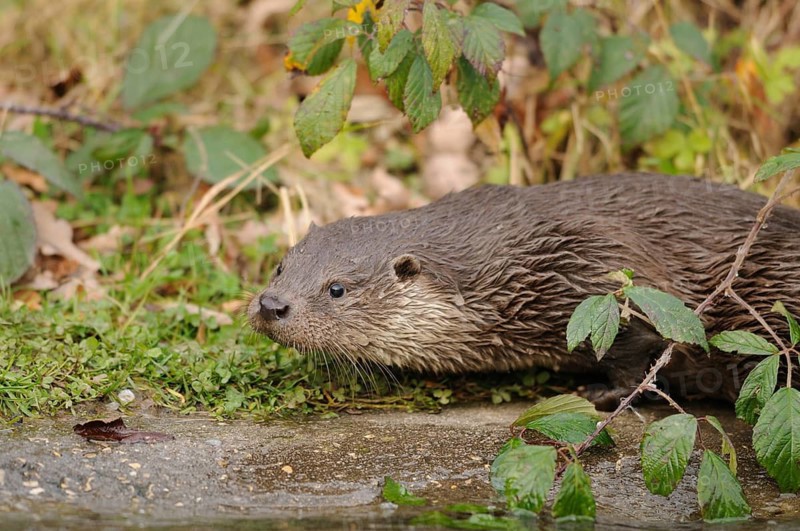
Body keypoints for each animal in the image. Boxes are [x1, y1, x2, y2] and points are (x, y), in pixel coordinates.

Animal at [248, 173, 800, 409]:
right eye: (280, 265)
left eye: (337, 288)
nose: (272, 305)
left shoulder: (606, 269)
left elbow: (634, 350)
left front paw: (600, 394)